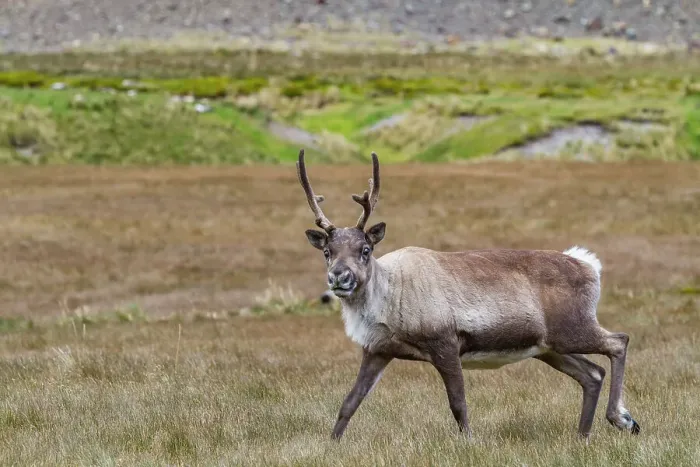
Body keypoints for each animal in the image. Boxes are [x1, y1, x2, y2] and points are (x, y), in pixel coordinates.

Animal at [295, 149, 640, 441]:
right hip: (549, 347)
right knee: (592, 373)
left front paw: (470, 442)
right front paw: (331, 444)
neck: (387, 297)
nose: (339, 277)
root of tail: (589, 265)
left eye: (365, 250)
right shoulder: (378, 350)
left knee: (618, 341)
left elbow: (458, 403)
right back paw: (583, 435)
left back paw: (622, 418)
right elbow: (350, 402)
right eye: (327, 251)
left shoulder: (445, 342)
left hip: (572, 328)